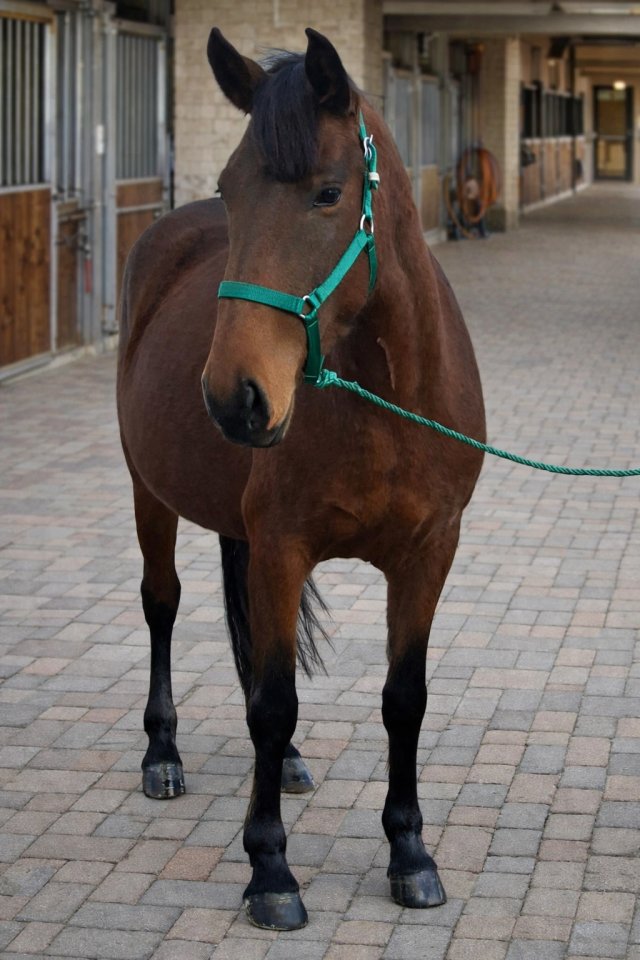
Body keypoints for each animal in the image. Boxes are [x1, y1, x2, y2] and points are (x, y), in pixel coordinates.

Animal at [116, 26, 486, 931]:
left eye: (327, 193)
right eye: (229, 187)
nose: (233, 396)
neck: (387, 400)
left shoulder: (430, 553)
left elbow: (403, 698)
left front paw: (411, 853)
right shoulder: (283, 549)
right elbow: (272, 699)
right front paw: (270, 871)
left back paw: (280, 765)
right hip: (149, 494)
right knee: (162, 605)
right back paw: (162, 754)